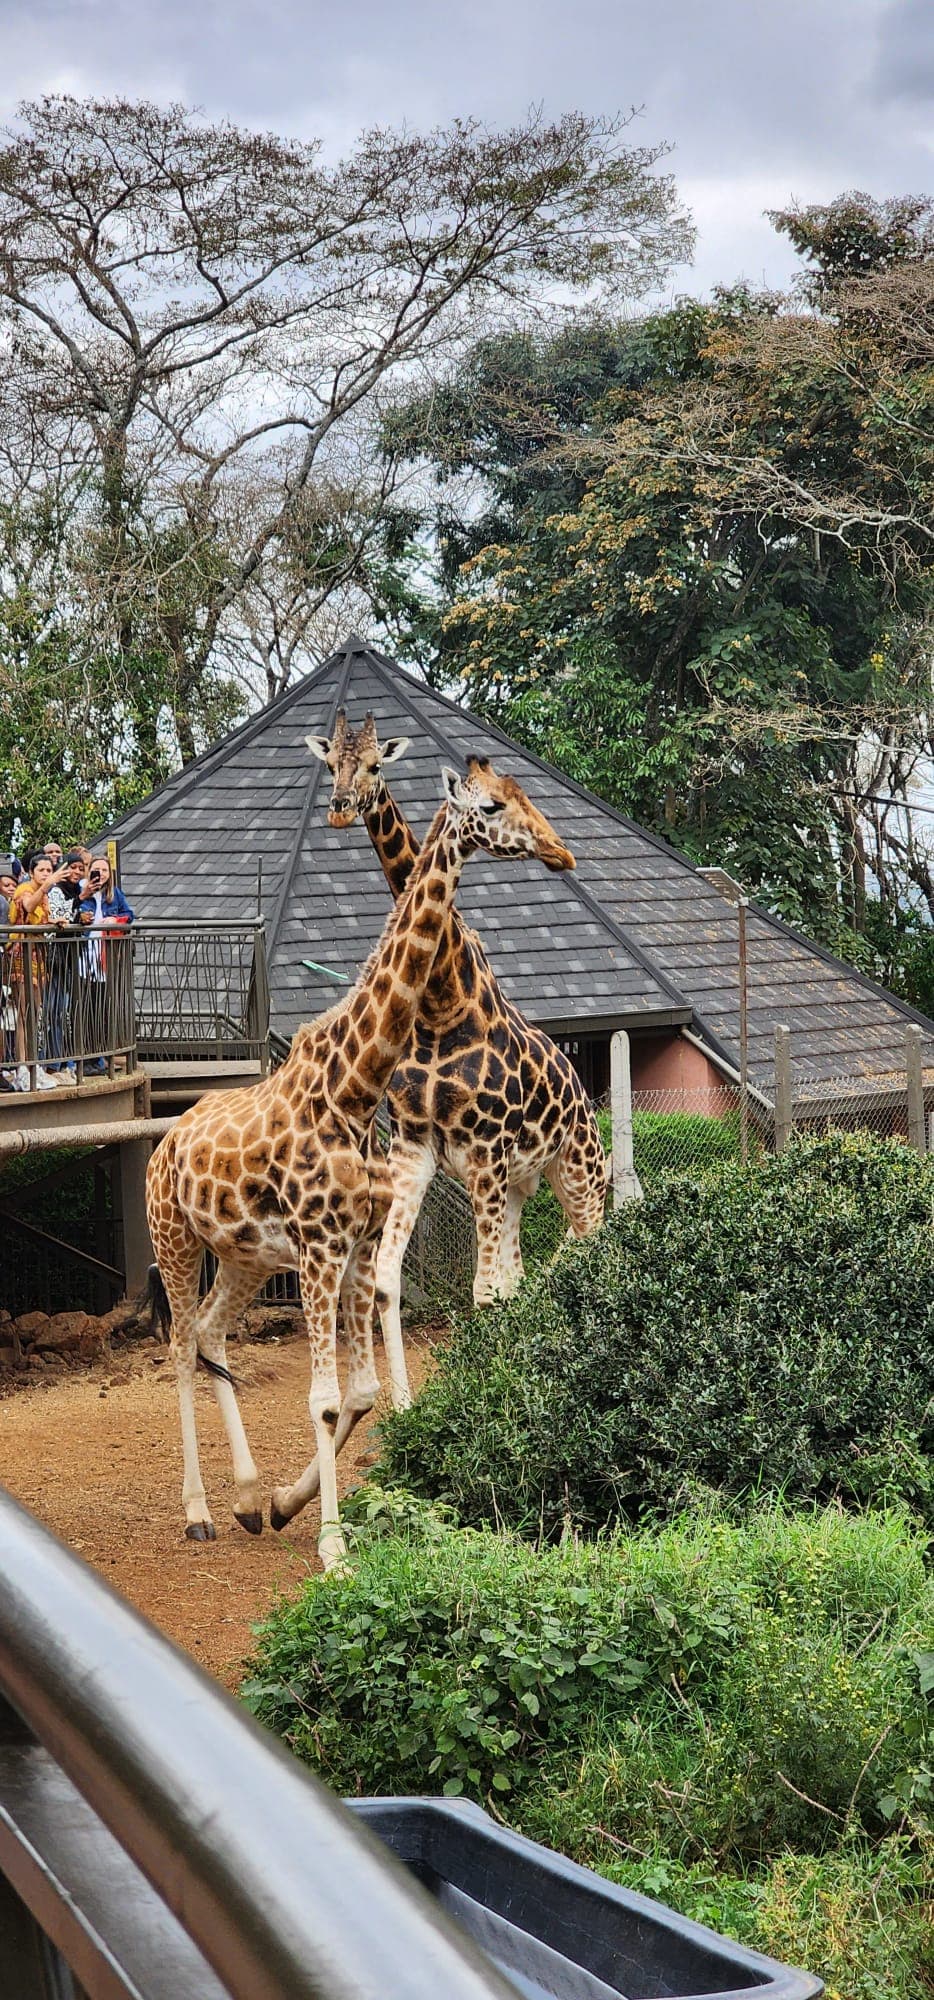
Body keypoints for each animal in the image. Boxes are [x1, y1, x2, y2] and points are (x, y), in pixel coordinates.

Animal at [144, 758, 575, 1566]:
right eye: (491, 806)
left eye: (524, 793)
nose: (559, 852)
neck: (356, 1084)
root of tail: (162, 1142)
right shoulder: (320, 1250)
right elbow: (323, 1399)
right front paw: (334, 1550)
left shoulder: (352, 1248)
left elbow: (359, 1393)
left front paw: (287, 1504)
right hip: (176, 1240)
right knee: (183, 1345)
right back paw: (197, 1510)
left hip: (245, 1257)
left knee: (212, 1335)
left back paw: (245, 1498)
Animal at [306, 713, 608, 1409]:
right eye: (331, 763)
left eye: (375, 765)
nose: (562, 852)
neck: (442, 1005)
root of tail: (586, 1098)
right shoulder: (416, 1150)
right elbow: (392, 1279)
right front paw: (407, 1405)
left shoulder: (485, 1153)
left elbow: (483, 1292)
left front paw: (493, 1405)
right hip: (522, 1184)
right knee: (526, 1271)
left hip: (580, 1175)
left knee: (590, 1247)